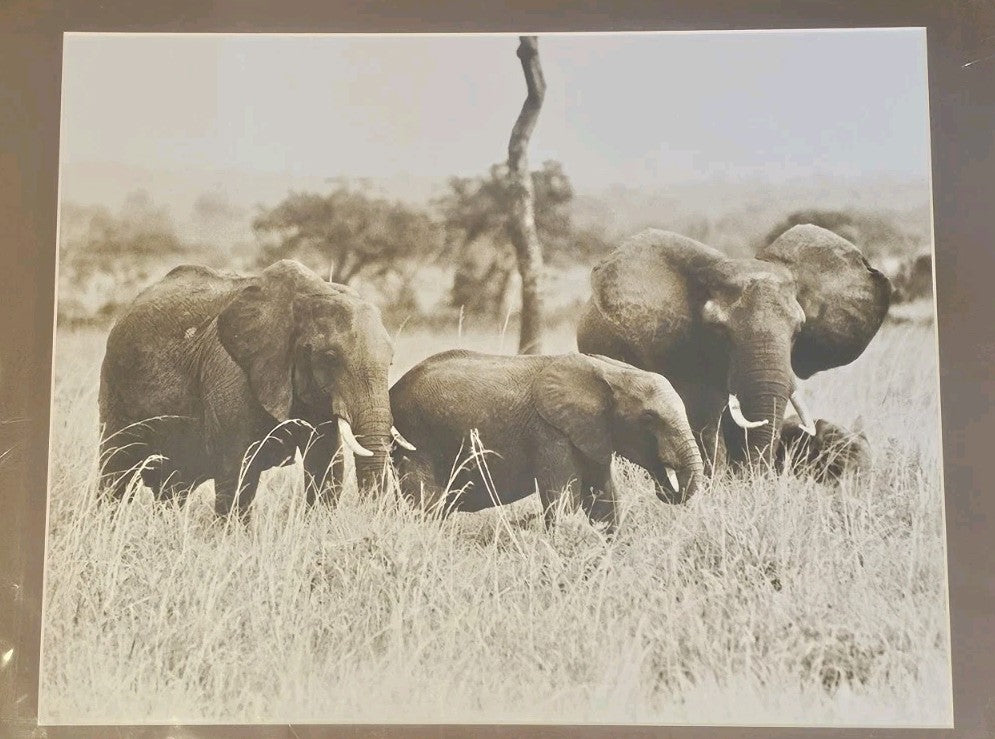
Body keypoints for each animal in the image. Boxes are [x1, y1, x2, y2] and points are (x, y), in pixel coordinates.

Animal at [98, 259, 414, 516]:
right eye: (330, 357)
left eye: (391, 361)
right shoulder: (230, 370)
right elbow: (238, 469)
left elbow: (325, 461)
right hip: (116, 383)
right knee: (115, 470)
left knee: (173, 487)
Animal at [388, 350, 705, 532]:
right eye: (649, 419)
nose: (665, 486)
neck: (610, 371)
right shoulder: (549, 433)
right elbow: (562, 501)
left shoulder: (591, 433)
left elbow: (604, 502)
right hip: (416, 436)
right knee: (425, 506)